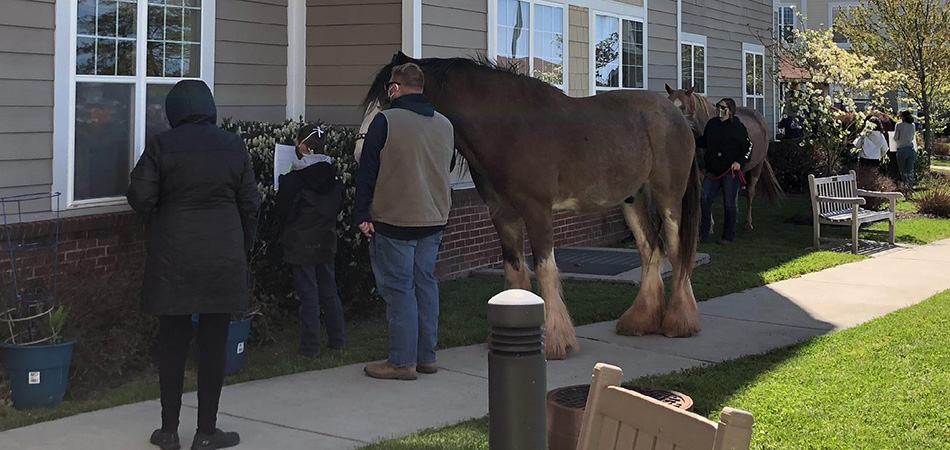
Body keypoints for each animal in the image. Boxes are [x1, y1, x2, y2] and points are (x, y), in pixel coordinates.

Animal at [360, 51, 704, 358]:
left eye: (390, 96)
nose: (360, 150)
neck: (509, 127)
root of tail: (677, 117)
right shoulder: (502, 214)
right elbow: (515, 269)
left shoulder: (537, 211)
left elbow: (545, 269)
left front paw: (556, 342)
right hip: (633, 199)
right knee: (650, 249)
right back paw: (641, 320)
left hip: (668, 199)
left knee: (676, 251)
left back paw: (680, 322)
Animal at [664, 85, 784, 230]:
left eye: (683, 107)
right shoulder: (702, 170)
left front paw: (709, 225)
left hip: (757, 166)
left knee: (750, 191)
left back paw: (748, 222)